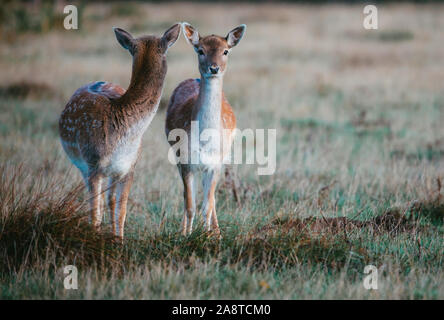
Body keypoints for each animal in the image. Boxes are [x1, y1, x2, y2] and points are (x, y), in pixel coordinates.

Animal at [58, 23, 180, 238]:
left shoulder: (129, 168)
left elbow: (121, 210)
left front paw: (120, 240)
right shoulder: (93, 163)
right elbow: (95, 213)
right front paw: (95, 239)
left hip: (112, 172)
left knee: (111, 201)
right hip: (83, 165)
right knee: (99, 202)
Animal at [166, 22, 245, 236]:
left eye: (226, 51)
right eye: (200, 50)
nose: (214, 68)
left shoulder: (215, 163)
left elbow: (207, 205)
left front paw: (209, 235)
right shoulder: (185, 161)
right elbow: (190, 204)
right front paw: (186, 236)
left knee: (211, 199)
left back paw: (216, 232)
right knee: (187, 195)